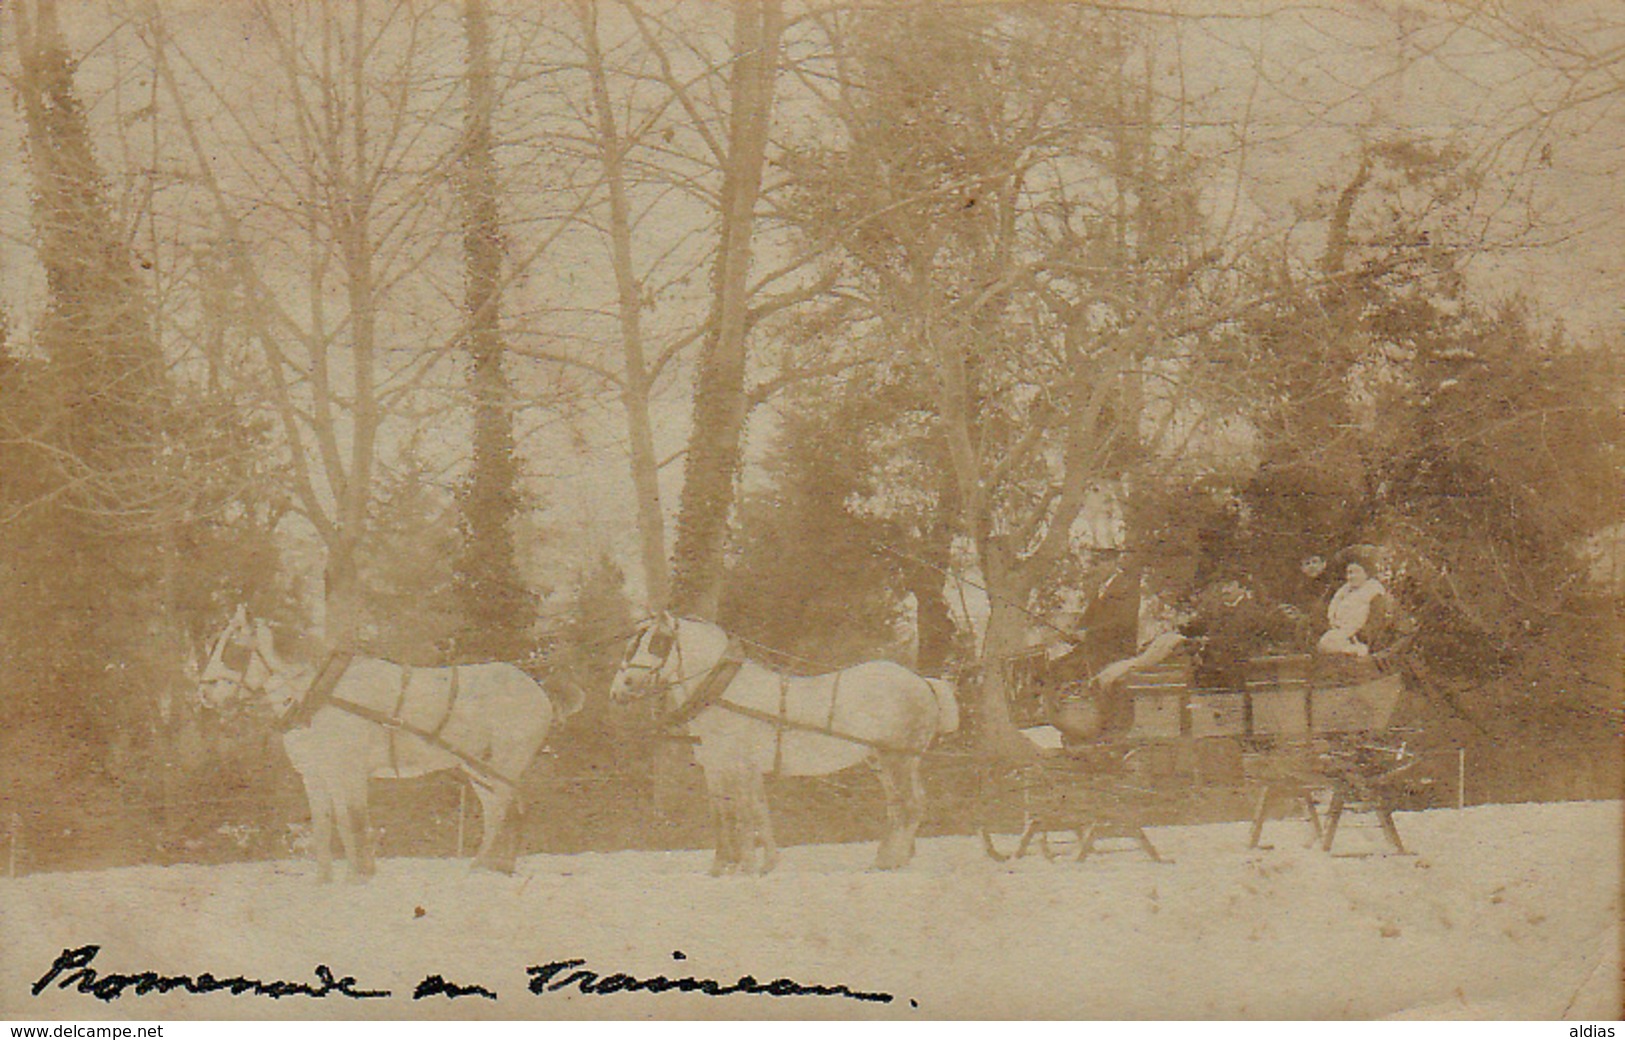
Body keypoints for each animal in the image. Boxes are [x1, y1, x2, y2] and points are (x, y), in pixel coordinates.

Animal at [202, 604, 575, 884]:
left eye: (233, 648)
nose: (204, 693)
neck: (322, 693)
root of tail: (539, 689)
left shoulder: (349, 770)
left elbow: (353, 821)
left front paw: (360, 875)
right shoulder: (318, 774)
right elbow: (326, 825)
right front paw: (326, 880)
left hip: (502, 764)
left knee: (500, 812)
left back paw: (479, 867)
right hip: (480, 768)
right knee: (508, 810)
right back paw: (499, 866)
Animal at [614, 614, 955, 871]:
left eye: (658, 642)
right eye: (633, 645)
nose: (621, 688)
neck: (726, 693)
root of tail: (923, 681)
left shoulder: (738, 763)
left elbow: (746, 810)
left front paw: (747, 866)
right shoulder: (718, 766)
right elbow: (730, 811)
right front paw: (734, 866)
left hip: (898, 758)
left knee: (911, 804)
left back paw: (892, 862)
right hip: (883, 760)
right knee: (899, 806)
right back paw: (886, 859)